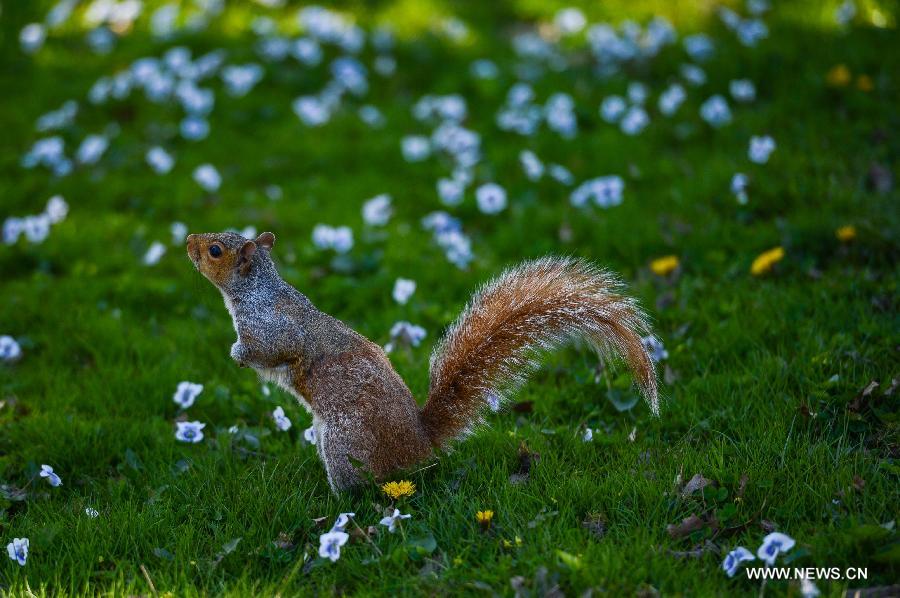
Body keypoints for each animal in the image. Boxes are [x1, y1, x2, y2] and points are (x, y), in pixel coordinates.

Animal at [186, 232, 656, 494]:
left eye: (215, 250)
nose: (188, 240)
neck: (255, 292)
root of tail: (421, 445)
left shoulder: (274, 331)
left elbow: (269, 351)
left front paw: (236, 355)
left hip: (344, 443)